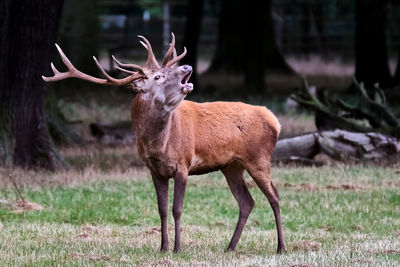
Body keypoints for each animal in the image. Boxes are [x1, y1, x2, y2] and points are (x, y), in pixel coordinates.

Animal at [43, 34, 284, 255]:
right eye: (159, 76)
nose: (187, 66)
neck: (159, 144)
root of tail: (274, 120)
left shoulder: (183, 164)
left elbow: (177, 209)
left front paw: (177, 248)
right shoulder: (155, 170)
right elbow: (162, 209)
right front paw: (163, 247)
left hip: (258, 158)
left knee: (274, 196)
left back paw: (280, 247)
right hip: (232, 166)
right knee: (247, 202)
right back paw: (230, 247)